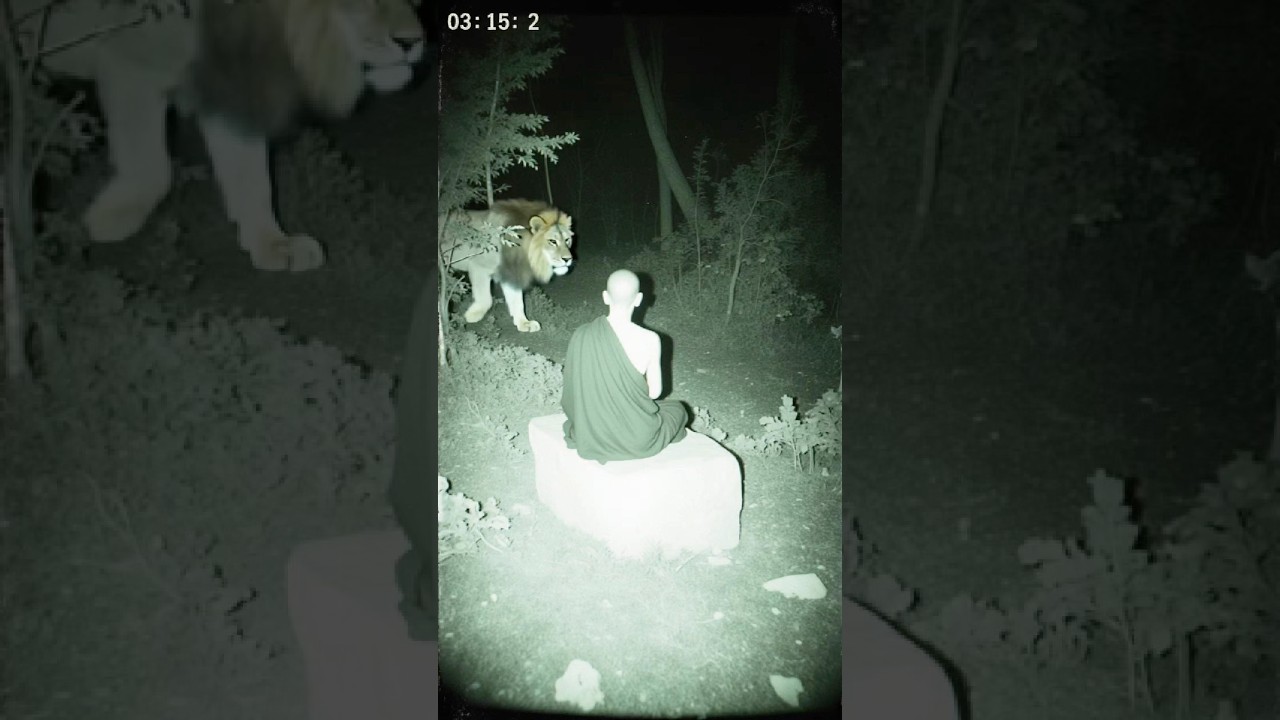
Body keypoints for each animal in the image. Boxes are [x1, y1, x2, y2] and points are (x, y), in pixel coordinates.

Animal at [12, 0, 426, 272]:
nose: (414, 42)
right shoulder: (131, 60)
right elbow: (152, 167)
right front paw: (108, 220)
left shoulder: (229, 89)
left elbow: (252, 178)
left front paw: (272, 245)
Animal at [439, 199, 574, 333]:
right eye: (552, 241)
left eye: (567, 240)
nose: (568, 259)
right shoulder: (479, 265)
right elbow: (486, 299)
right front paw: (471, 316)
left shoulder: (511, 272)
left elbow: (517, 301)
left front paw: (524, 323)